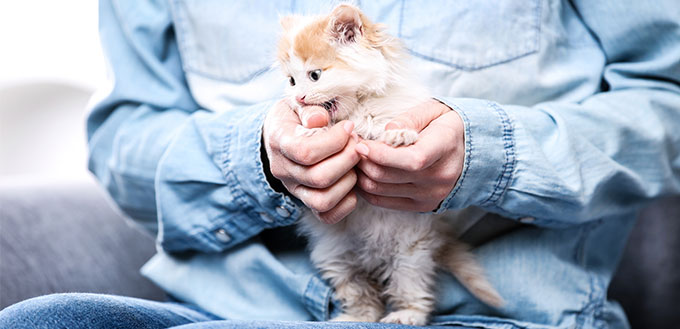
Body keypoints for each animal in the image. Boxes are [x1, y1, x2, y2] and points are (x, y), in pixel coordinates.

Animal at [276, 3, 504, 324]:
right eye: (291, 81)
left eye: (315, 75)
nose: (298, 97)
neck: (355, 109)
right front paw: (312, 132)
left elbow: (385, 127)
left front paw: (398, 135)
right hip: (337, 258)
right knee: (363, 296)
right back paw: (355, 317)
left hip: (411, 256)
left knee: (413, 291)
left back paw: (406, 315)